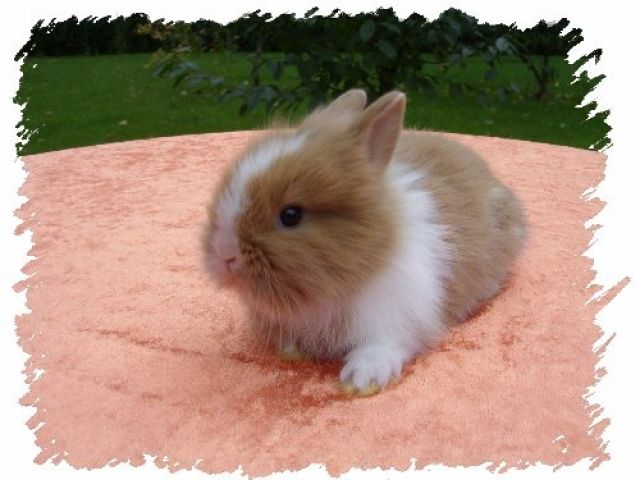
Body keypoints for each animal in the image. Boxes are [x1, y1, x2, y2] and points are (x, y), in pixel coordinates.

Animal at [203, 89, 526, 395]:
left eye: (291, 215)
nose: (225, 253)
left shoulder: (397, 318)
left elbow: (383, 346)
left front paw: (361, 379)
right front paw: (292, 351)